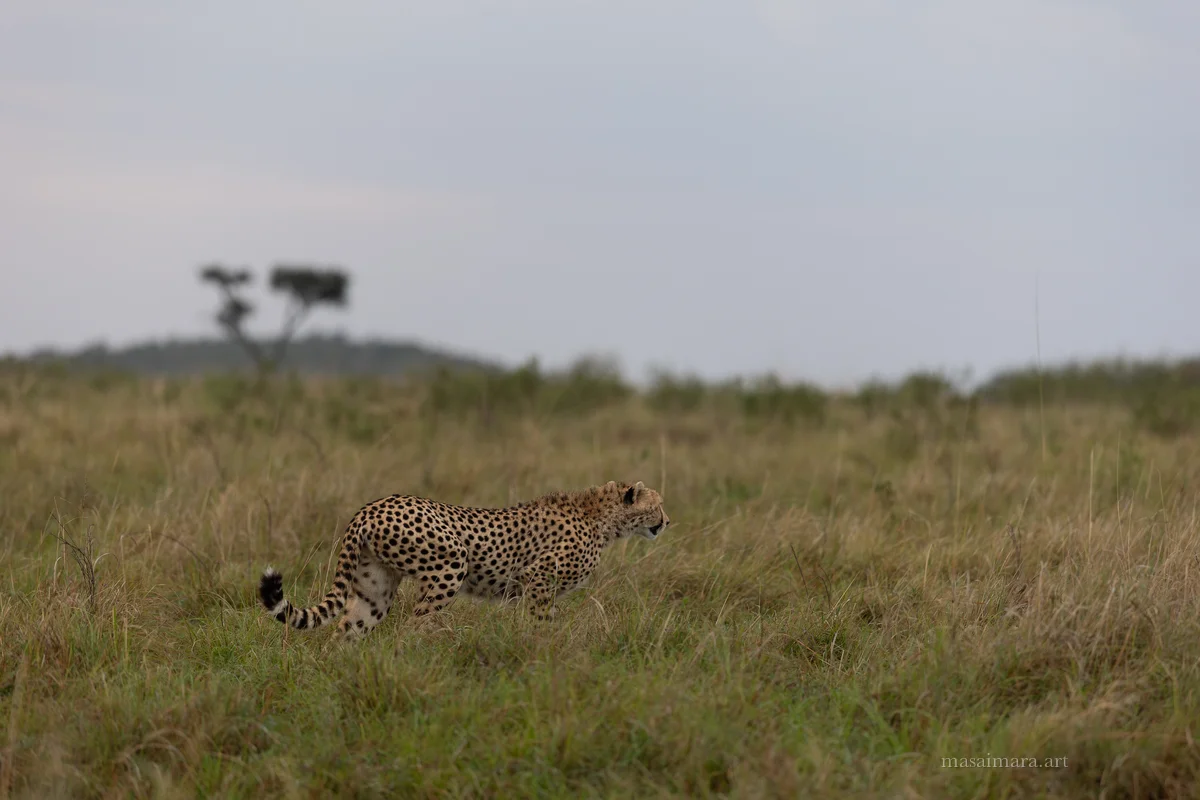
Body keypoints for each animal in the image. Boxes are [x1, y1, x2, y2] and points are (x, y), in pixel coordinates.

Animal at [257, 480, 669, 638]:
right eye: (659, 504)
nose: (667, 522)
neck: (603, 518)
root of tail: (371, 507)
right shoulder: (538, 579)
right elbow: (542, 623)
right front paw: (545, 650)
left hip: (374, 588)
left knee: (347, 628)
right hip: (451, 563)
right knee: (414, 626)